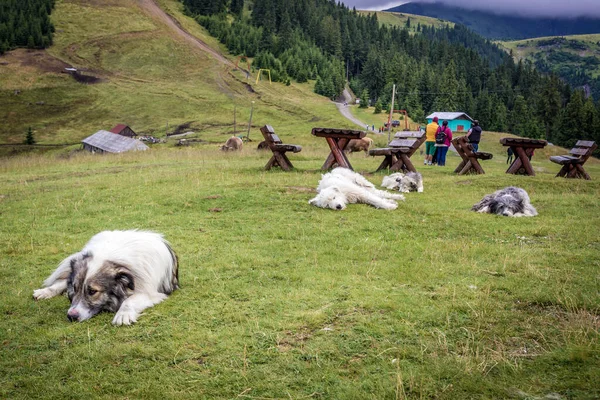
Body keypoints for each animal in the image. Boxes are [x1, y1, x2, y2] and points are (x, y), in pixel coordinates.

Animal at [33, 230, 178, 326]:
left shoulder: (150, 292)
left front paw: (123, 314)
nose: (71, 316)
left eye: (92, 291)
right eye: (75, 288)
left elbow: (129, 301)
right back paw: (44, 292)